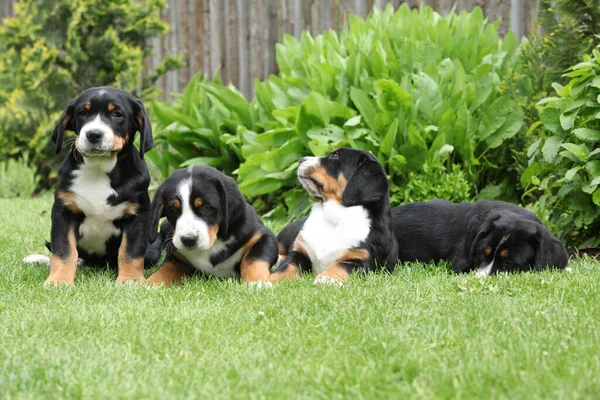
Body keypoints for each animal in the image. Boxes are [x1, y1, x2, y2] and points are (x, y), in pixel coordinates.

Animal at [23, 86, 155, 286]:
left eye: (117, 114)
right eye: (83, 113)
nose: (93, 135)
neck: (98, 170)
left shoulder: (136, 215)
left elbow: (130, 252)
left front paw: (130, 280)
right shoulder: (64, 212)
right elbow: (64, 250)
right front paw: (59, 281)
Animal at [145, 166, 278, 288]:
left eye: (205, 207)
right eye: (173, 209)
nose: (188, 240)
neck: (214, 243)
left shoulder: (262, 236)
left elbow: (252, 259)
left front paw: (256, 282)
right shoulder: (177, 258)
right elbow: (165, 269)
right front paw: (150, 284)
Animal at [270, 148, 398, 286]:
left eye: (335, 155)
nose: (301, 159)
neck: (333, 217)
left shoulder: (361, 261)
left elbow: (339, 265)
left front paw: (326, 278)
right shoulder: (299, 253)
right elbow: (286, 268)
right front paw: (268, 282)